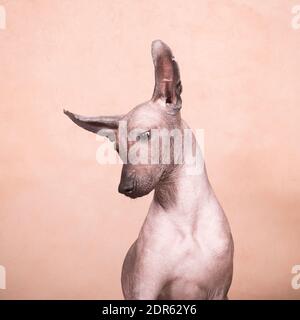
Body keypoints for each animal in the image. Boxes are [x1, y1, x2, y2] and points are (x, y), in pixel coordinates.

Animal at [64, 40, 234, 300]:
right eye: (117, 149)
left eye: (144, 135)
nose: (123, 188)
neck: (184, 215)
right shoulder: (144, 290)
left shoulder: (218, 292)